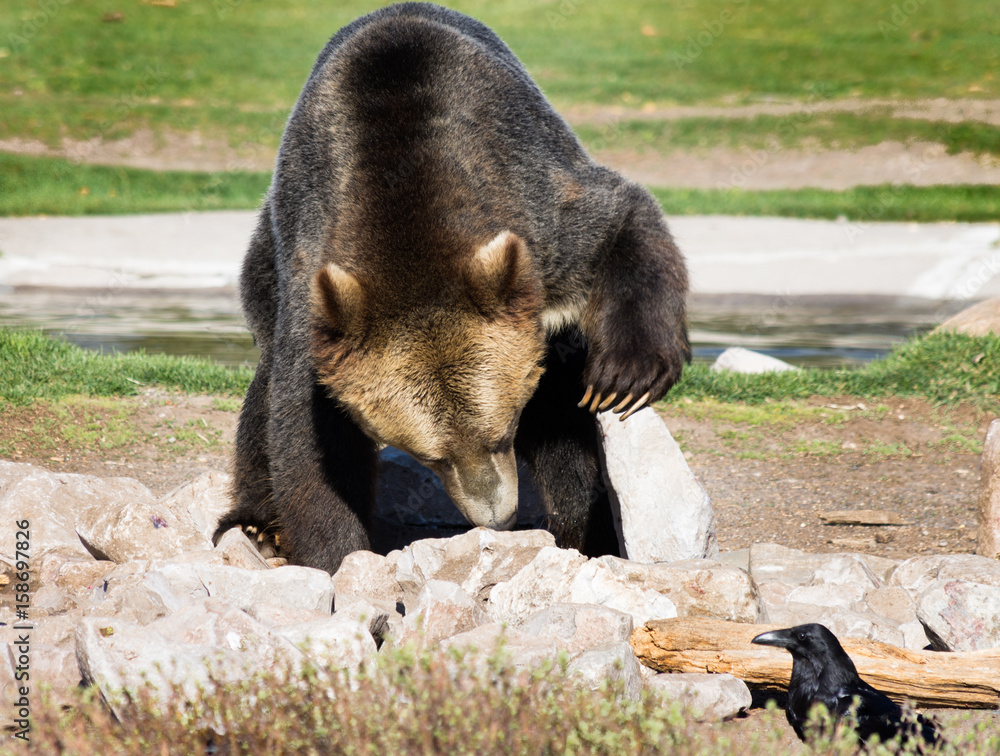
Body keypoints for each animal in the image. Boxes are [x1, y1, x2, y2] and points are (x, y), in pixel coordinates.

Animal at [212, 2, 690, 574]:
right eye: (432, 455)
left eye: (503, 432)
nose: (495, 516)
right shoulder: (316, 296)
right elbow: (307, 439)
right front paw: (336, 555)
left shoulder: (541, 221)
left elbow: (623, 222)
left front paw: (627, 375)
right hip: (265, 268)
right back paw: (257, 526)